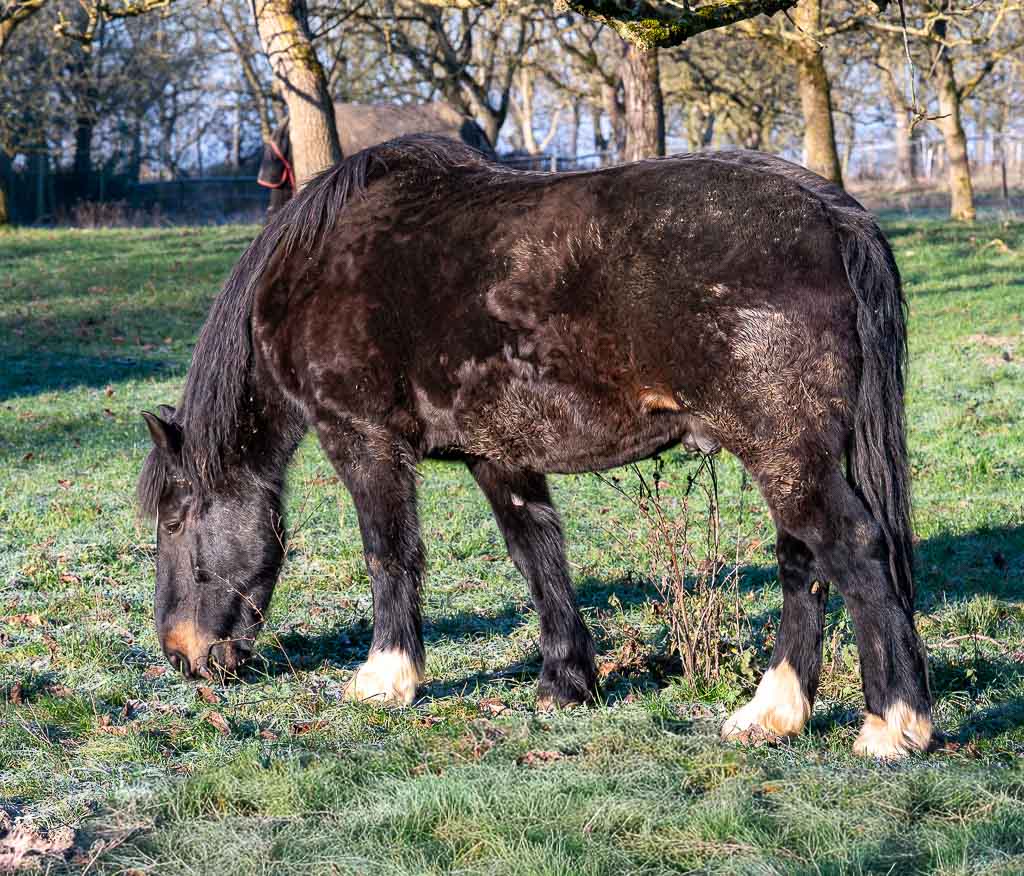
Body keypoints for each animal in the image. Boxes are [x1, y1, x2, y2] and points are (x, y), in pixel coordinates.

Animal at [138, 135, 932, 759]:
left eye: (175, 520)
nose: (180, 656)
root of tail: (833, 215)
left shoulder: (361, 440)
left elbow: (390, 554)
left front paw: (385, 678)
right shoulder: (500, 455)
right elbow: (538, 557)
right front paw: (566, 682)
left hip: (786, 455)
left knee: (853, 551)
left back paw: (892, 726)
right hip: (792, 457)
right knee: (804, 564)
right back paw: (773, 714)